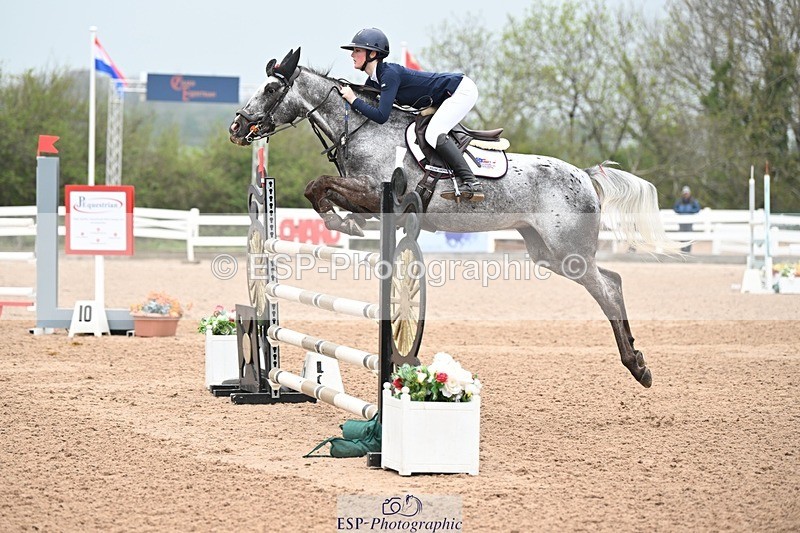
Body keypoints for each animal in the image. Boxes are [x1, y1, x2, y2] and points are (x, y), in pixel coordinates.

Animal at [229, 48, 683, 388]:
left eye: (272, 88)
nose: (237, 127)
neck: (362, 129)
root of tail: (585, 175)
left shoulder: (377, 194)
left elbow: (319, 185)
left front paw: (344, 224)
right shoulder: (365, 197)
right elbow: (316, 189)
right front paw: (343, 223)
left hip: (569, 252)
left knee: (608, 288)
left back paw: (638, 366)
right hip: (546, 253)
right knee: (613, 280)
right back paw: (636, 362)